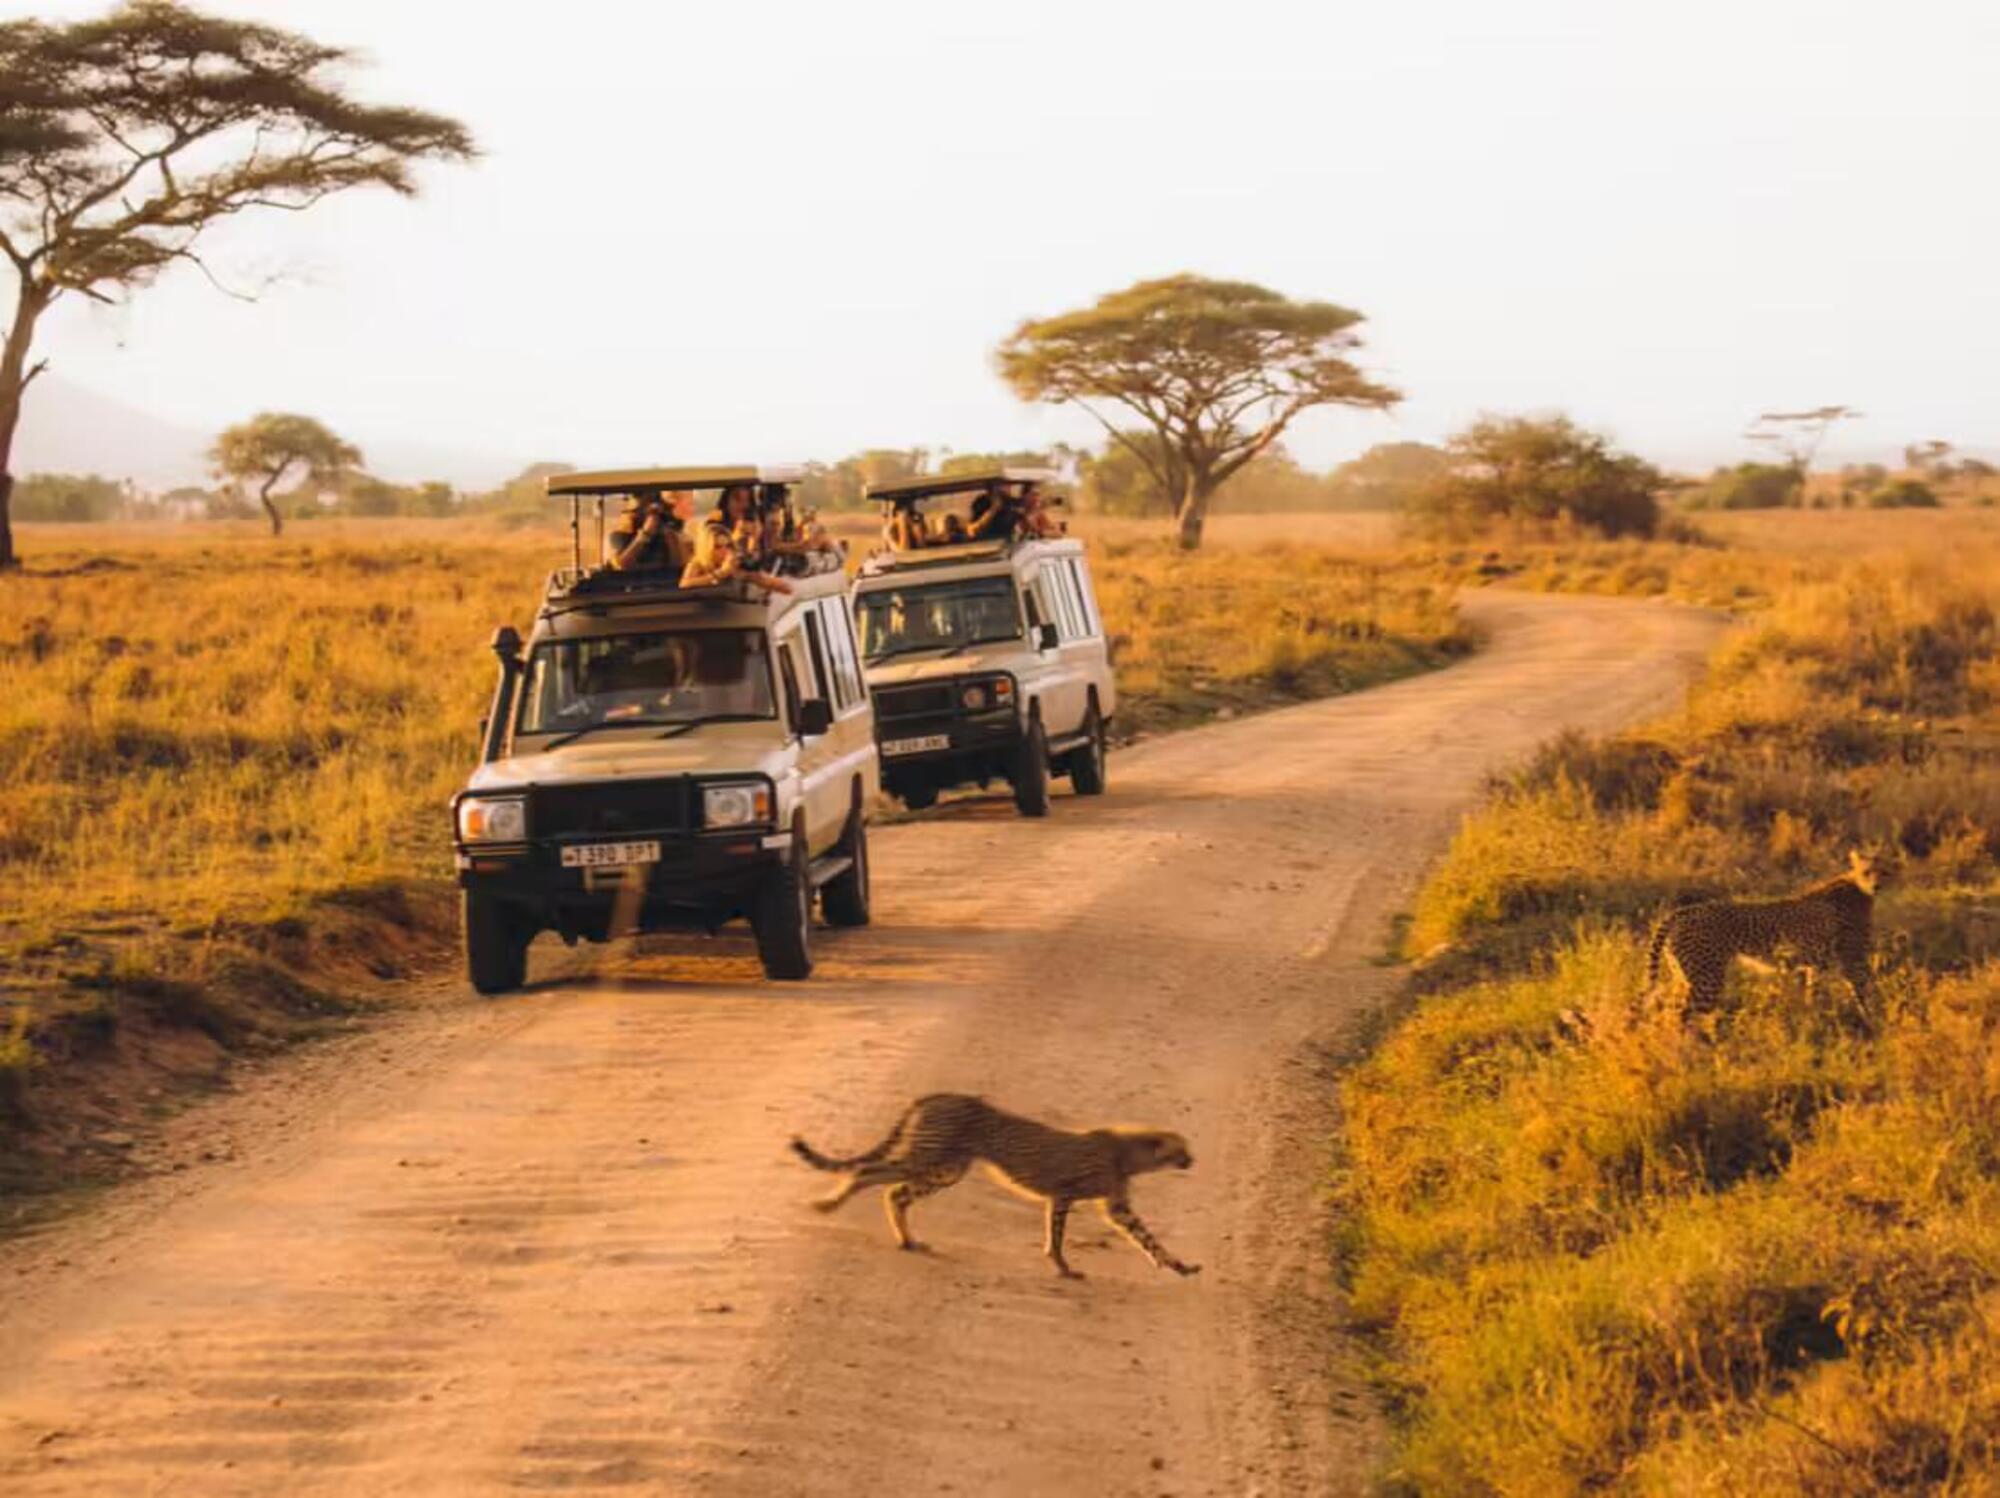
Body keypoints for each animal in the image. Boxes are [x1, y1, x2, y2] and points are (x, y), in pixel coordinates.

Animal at [1648, 848, 1880, 1024]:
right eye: (1867, 871)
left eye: (1882, 871)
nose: (1875, 885)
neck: (1857, 887)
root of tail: (1685, 910)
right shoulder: (1854, 961)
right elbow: (1865, 993)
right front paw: (1876, 1023)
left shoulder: (1818, 964)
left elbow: (1813, 992)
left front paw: (1813, 1018)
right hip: (1706, 979)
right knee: (1678, 1015)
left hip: (1684, 975)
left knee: (1664, 1006)